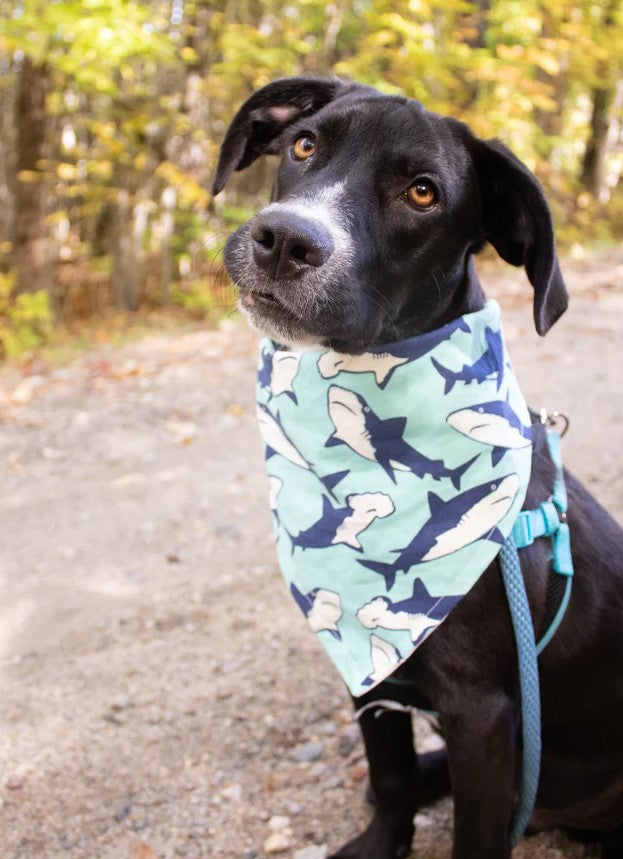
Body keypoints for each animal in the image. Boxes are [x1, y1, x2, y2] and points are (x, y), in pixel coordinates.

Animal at [213, 77, 623, 856]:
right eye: (304, 144)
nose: (284, 239)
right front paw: (380, 840)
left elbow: (474, 834)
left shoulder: (481, 714)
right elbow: (391, 775)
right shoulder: (368, 668)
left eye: (423, 193)